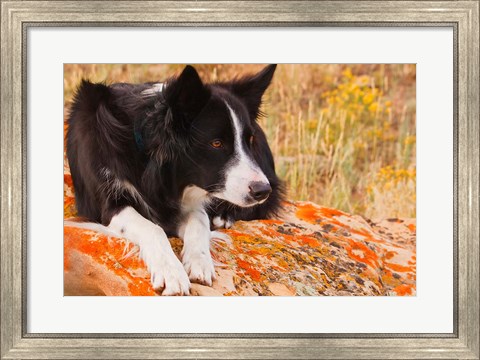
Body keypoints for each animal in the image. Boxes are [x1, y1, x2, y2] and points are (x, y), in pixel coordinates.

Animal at [66, 64, 284, 296]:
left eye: (249, 140)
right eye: (216, 143)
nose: (263, 190)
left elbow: (199, 218)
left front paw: (199, 262)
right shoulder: (107, 203)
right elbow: (152, 228)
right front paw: (171, 272)